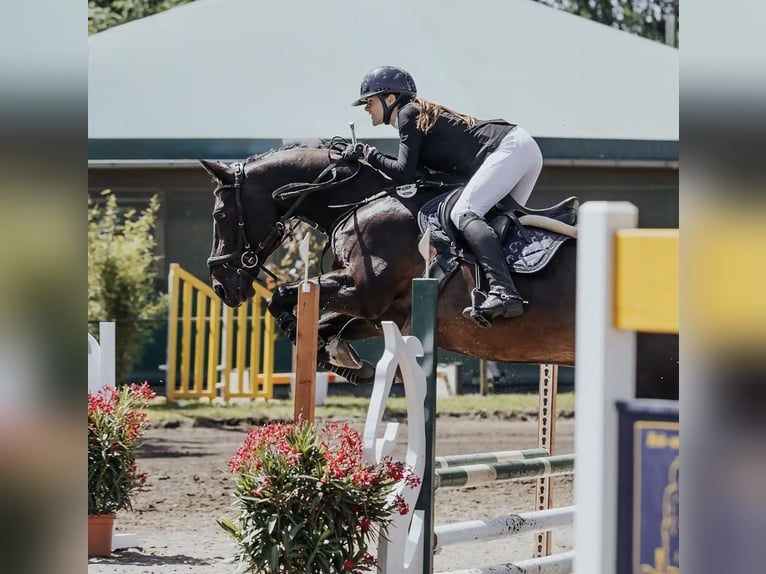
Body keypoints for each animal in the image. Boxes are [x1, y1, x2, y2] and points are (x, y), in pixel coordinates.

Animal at [201, 143, 678, 400]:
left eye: (221, 214)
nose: (222, 285)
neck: (361, 201)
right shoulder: (382, 312)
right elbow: (325, 322)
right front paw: (341, 357)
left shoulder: (363, 291)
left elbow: (282, 297)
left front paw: (329, 352)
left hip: (655, 376)